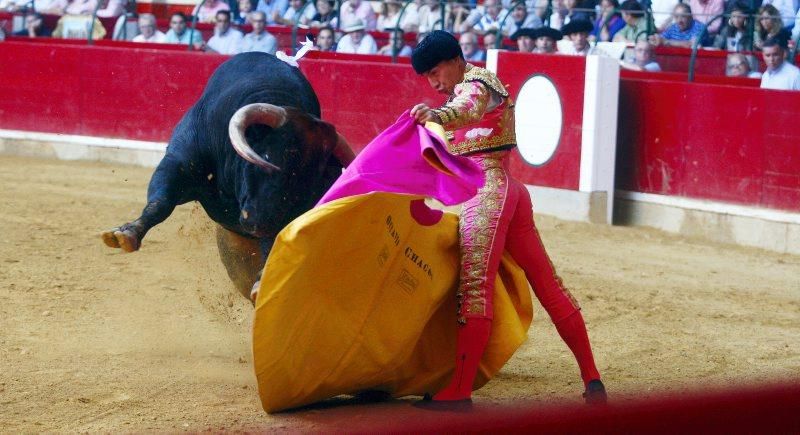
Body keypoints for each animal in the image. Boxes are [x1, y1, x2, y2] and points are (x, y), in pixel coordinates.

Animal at [102, 51, 356, 296]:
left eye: (310, 183)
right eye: (266, 156)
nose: (258, 222)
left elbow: (277, 239)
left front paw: (262, 280)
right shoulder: (179, 162)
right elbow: (160, 203)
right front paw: (126, 234)